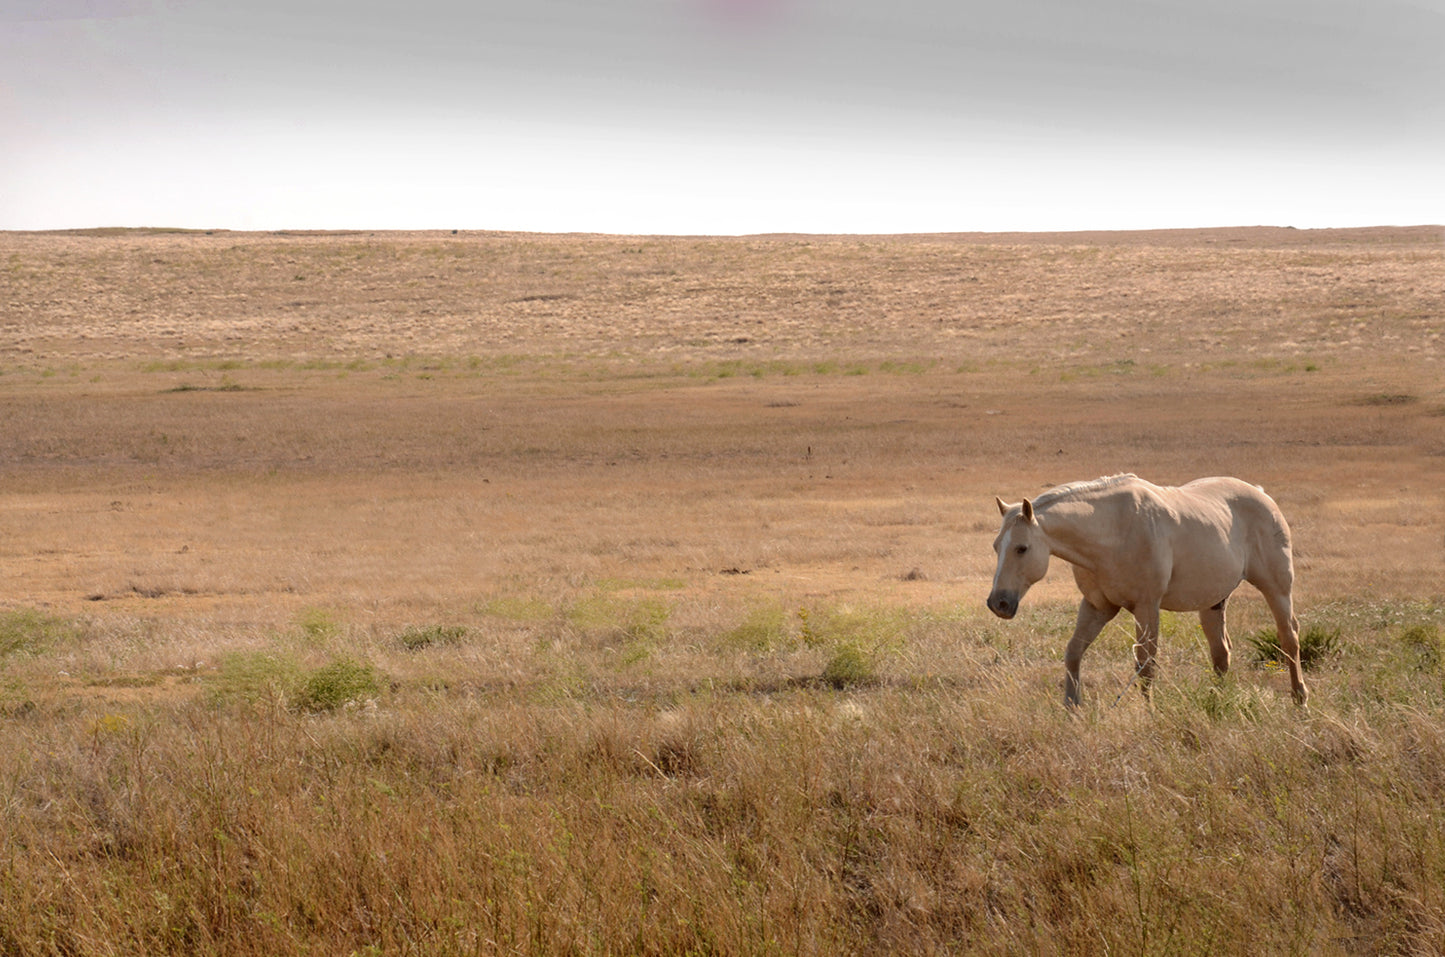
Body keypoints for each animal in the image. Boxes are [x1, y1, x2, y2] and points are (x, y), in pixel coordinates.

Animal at [982, 477, 1312, 708]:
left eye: (1022, 548)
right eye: (996, 546)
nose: (998, 603)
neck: (1113, 531)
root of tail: (1261, 494)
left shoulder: (1146, 607)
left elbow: (1145, 664)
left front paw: (1148, 711)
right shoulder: (1097, 607)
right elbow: (1073, 653)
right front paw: (1071, 708)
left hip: (1277, 590)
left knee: (1289, 639)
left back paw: (1300, 700)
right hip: (1212, 603)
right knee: (1221, 653)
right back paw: (1217, 701)